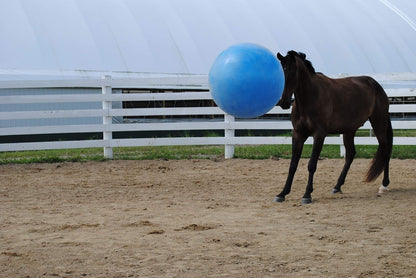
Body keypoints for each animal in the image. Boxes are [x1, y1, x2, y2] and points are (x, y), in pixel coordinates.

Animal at [274, 50, 392, 204]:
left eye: (292, 72)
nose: (283, 102)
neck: (310, 97)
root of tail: (377, 86)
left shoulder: (319, 135)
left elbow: (312, 165)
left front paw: (307, 195)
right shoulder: (298, 134)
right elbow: (293, 165)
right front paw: (282, 193)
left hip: (379, 124)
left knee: (385, 151)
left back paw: (384, 185)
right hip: (349, 131)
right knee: (350, 155)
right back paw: (337, 186)